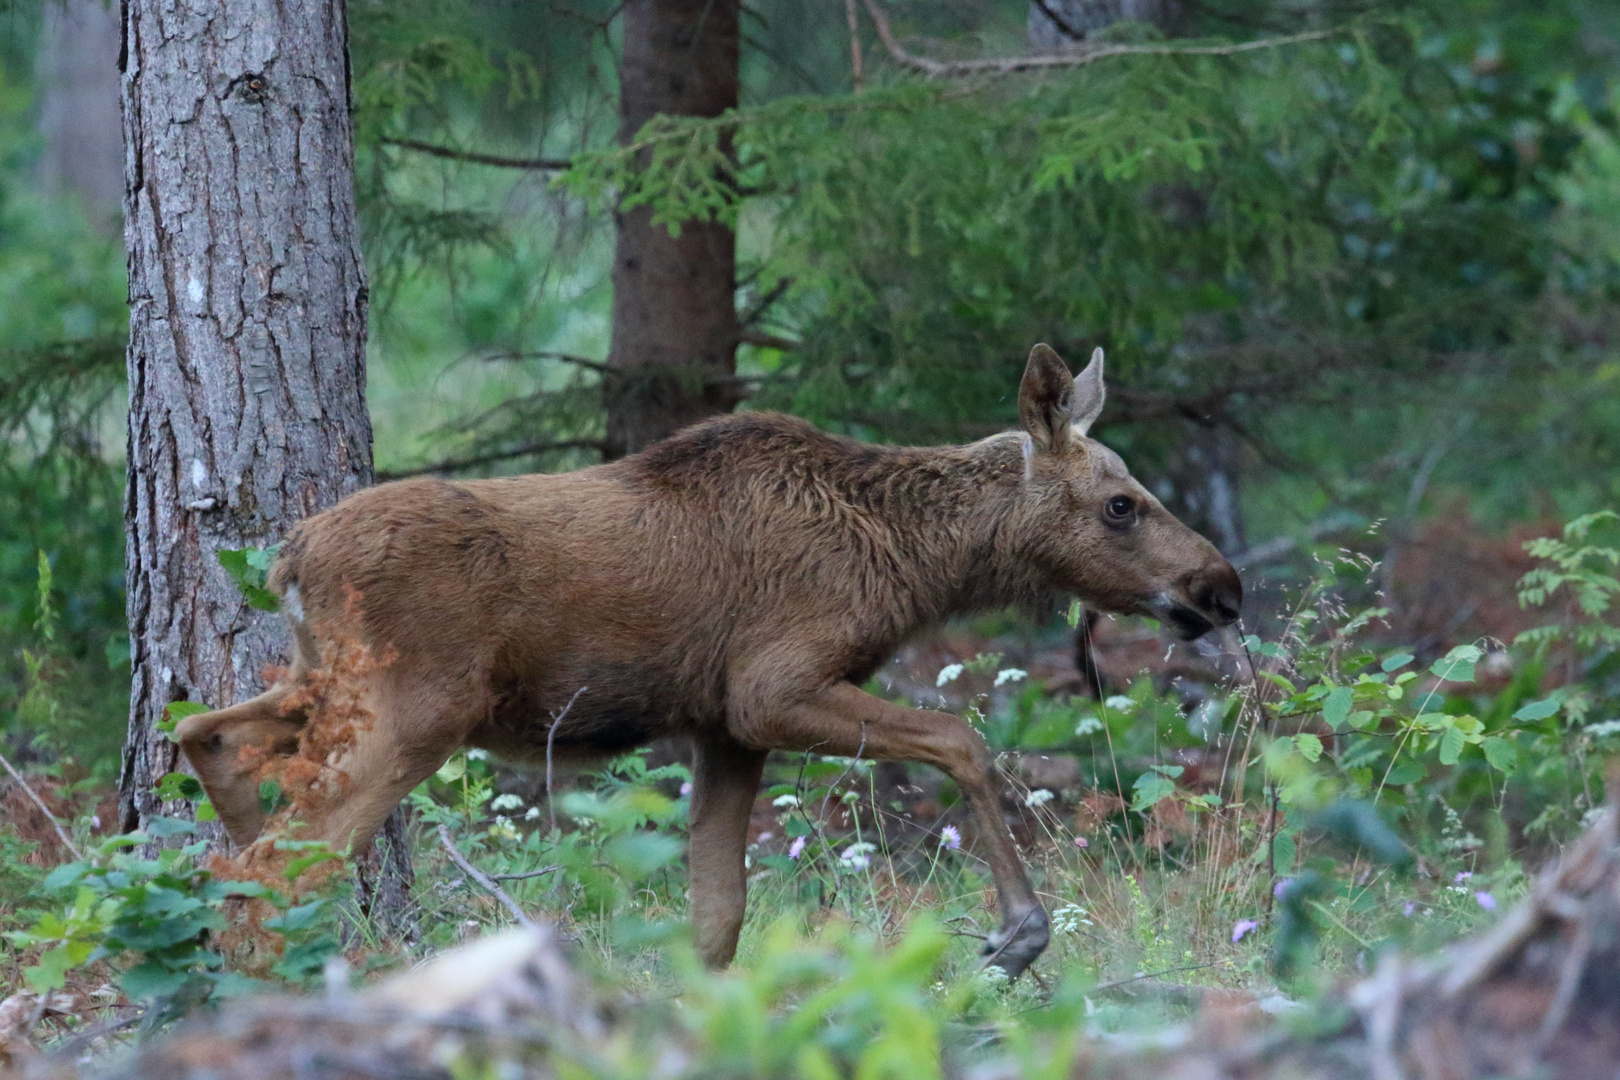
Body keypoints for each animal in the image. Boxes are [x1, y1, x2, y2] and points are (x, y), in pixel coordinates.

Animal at [177, 344, 1237, 977]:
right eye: (1121, 505)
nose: (1221, 587)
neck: (911, 563)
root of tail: (289, 558)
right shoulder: (771, 690)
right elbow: (962, 738)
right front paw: (1018, 932)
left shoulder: (724, 730)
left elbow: (716, 920)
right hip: (413, 709)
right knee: (277, 873)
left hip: (323, 687)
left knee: (208, 742)